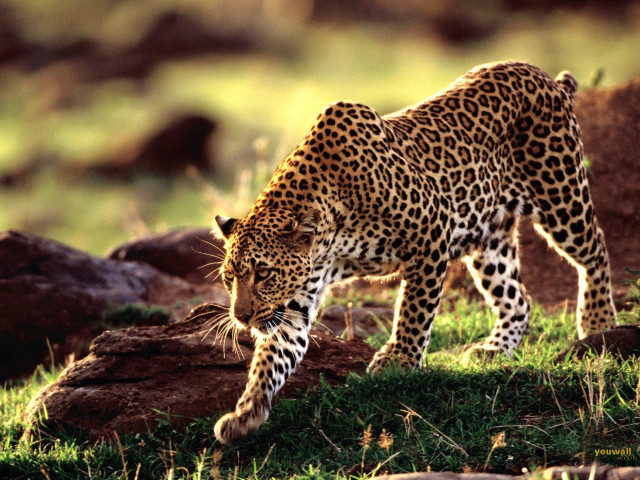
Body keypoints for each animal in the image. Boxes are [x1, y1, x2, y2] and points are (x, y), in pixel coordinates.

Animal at [211, 61, 616, 444]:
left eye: (264, 274)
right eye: (230, 278)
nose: (241, 318)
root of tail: (546, 77)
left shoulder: (432, 229)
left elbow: (413, 309)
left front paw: (399, 360)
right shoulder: (295, 301)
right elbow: (273, 358)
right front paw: (245, 414)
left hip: (561, 197)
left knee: (595, 249)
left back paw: (598, 324)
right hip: (489, 238)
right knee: (517, 299)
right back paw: (495, 349)